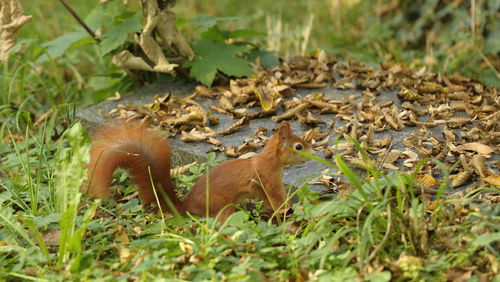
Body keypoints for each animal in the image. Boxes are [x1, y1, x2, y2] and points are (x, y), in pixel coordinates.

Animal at [85, 121, 312, 223]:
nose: (313, 154)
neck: (269, 160)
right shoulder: (268, 180)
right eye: (298, 146)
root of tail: (186, 206)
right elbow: (276, 199)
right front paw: (289, 210)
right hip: (221, 206)